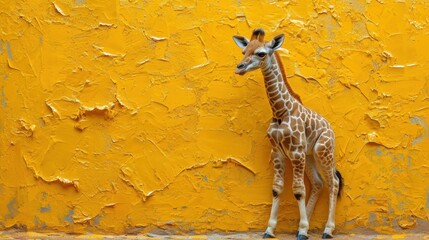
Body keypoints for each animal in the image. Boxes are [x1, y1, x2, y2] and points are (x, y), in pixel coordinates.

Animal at [232, 29, 342, 239]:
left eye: (261, 54)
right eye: (244, 52)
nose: (239, 68)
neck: (280, 112)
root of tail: (331, 129)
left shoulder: (296, 152)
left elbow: (298, 190)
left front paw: (303, 232)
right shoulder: (277, 152)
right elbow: (277, 189)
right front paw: (270, 229)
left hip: (323, 151)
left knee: (333, 182)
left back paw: (327, 230)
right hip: (309, 156)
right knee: (318, 183)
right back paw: (303, 225)